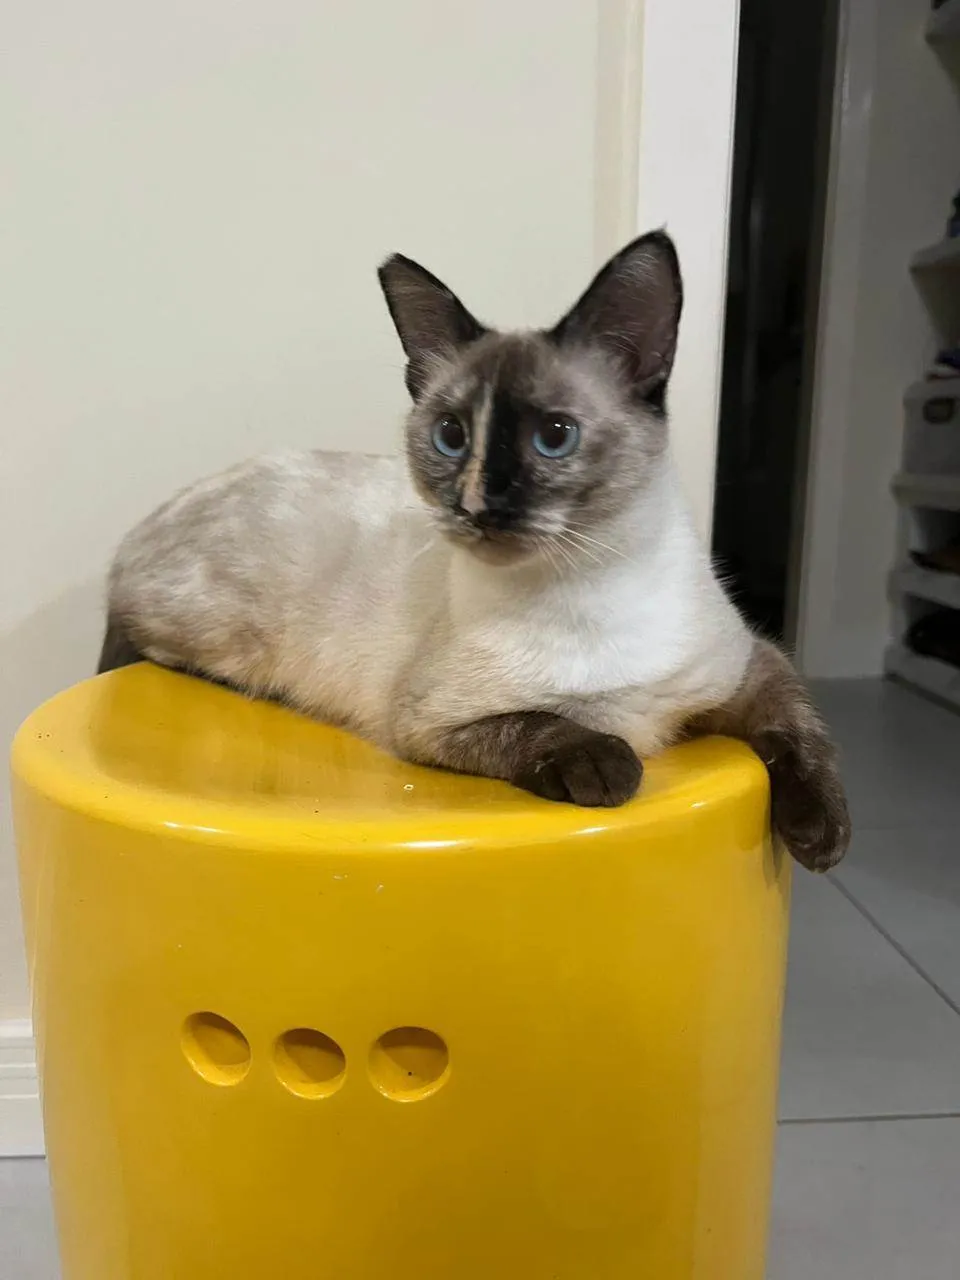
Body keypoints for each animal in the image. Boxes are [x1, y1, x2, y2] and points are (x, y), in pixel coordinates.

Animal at [99, 231, 850, 871]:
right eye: (451, 436)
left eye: (554, 437)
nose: (475, 507)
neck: (587, 581)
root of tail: (159, 513)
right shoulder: (430, 721)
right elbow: (549, 725)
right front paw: (611, 769)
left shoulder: (746, 666)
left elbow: (801, 730)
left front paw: (821, 836)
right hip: (219, 630)